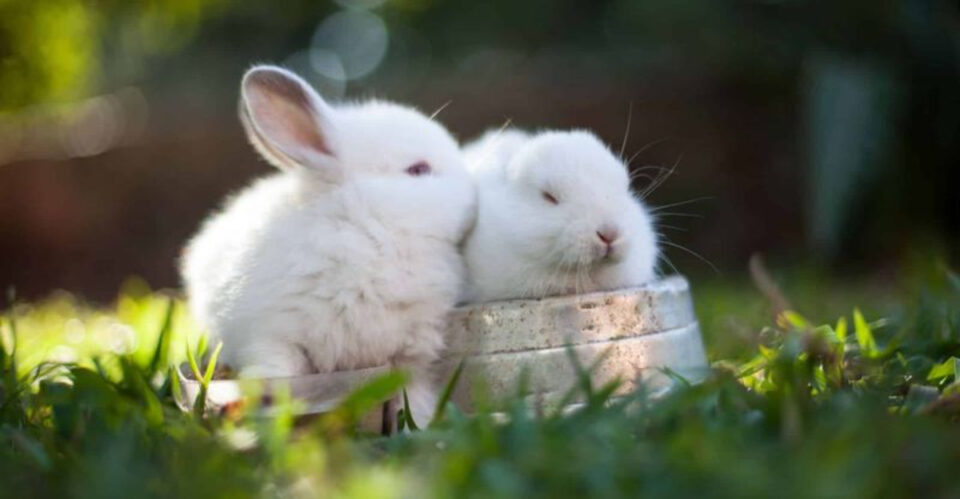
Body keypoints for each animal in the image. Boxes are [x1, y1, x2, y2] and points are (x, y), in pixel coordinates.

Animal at [180, 65, 477, 425]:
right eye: (418, 169)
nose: (475, 196)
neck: (367, 233)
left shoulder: (412, 353)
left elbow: (413, 397)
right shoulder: (272, 337)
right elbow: (277, 374)